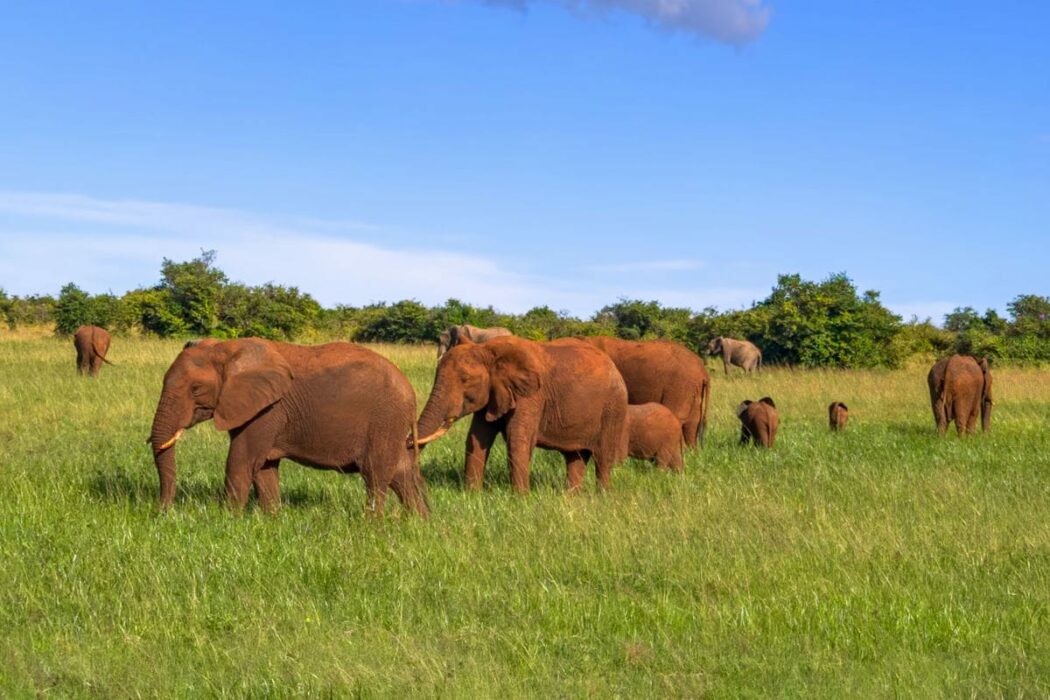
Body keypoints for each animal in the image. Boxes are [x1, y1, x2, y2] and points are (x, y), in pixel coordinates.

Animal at [148, 340, 426, 514]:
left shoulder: (269, 410)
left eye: (195, 389)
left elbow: (241, 461)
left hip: (384, 420)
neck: (228, 348)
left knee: (375, 475)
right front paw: (271, 520)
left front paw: (226, 521)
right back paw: (420, 524)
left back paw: (371, 526)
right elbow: (264, 468)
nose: (163, 513)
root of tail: (410, 393)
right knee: (400, 473)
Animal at [409, 335, 621, 493]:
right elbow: (477, 438)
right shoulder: (493, 393)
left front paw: (520, 498)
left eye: (465, 379)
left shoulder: (531, 395)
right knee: (575, 458)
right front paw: (471, 494)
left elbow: (517, 439)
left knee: (603, 458)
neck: (488, 350)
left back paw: (602, 496)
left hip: (612, 409)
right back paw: (571, 497)